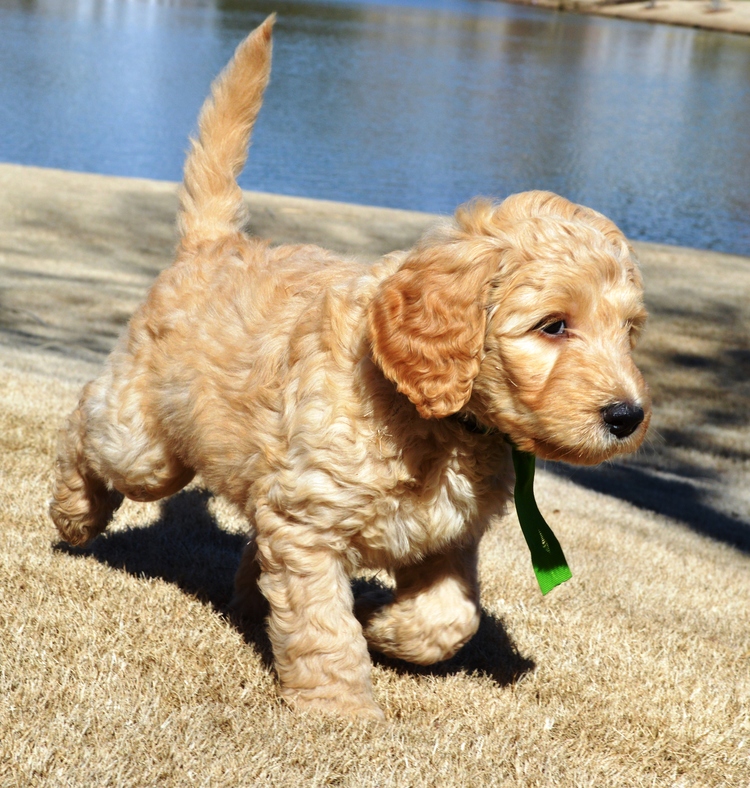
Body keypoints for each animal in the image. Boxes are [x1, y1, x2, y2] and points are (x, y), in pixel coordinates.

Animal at [51, 16, 652, 720]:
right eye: (553, 325)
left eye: (629, 332)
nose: (628, 416)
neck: (442, 426)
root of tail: (215, 244)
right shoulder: (309, 523)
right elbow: (322, 626)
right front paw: (339, 708)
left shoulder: (448, 534)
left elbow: (451, 618)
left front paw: (385, 627)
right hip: (146, 446)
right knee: (87, 425)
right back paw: (74, 513)